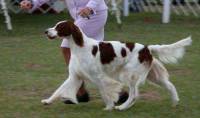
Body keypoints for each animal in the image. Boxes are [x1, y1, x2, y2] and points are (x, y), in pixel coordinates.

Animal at [42, 20, 192, 110]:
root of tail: (147, 48)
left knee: (134, 93)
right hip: (152, 76)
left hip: (128, 74)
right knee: (169, 86)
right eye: (55, 25)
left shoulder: (98, 76)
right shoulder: (75, 76)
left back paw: (122, 107)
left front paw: (109, 107)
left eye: (59, 27)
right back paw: (175, 102)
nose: (46, 31)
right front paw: (47, 101)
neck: (80, 47)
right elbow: (59, 89)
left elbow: (105, 92)